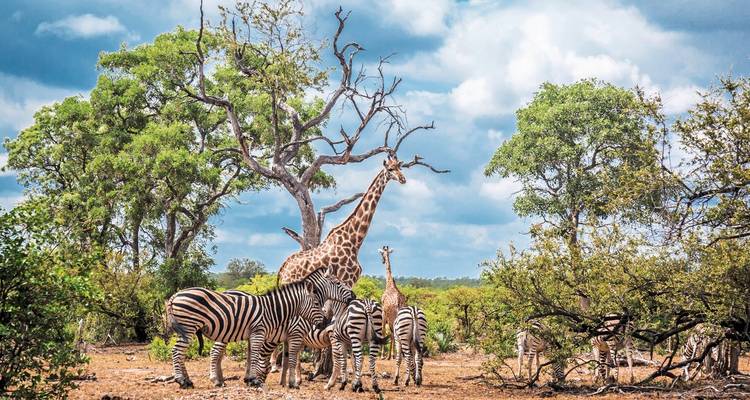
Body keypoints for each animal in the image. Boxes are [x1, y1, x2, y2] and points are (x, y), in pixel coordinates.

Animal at [165, 267, 353, 389]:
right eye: (338, 283)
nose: (353, 295)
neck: (276, 309)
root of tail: (175, 295)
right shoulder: (287, 333)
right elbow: (279, 358)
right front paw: (264, 381)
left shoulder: (280, 336)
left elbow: (284, 359)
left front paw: (283, 382)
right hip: (192, 327)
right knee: (181, 352)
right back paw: (188, 381)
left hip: (194, 330)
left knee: (186, 352)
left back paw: (200, 380)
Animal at [277, 156, 407, 288]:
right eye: (390, 169)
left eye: (399, 167)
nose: (403, 179)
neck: (354, 241)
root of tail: (282, 271)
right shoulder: (346, 279)